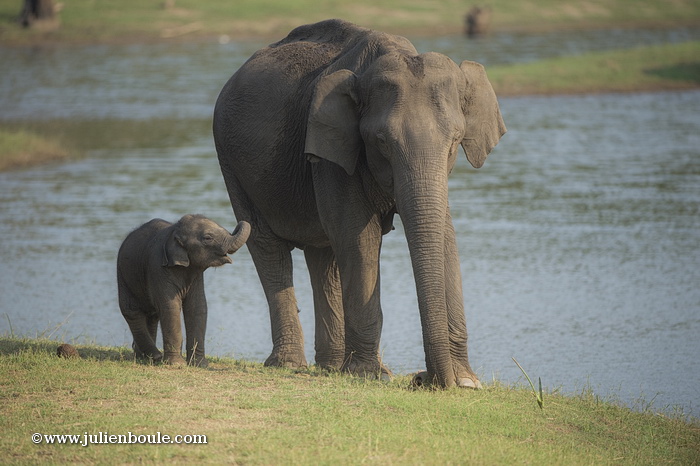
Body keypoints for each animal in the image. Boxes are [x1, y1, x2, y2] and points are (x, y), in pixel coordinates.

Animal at [117, 214, 251, 367]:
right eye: (208, 238)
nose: (239, 222)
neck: (175, 230)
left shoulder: (196, 274)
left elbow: (197, 307)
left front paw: (200, 364)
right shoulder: (157, 268)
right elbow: (170, 307)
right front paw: (177, 365)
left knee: (152, 314)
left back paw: (145, 358)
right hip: (123, 275)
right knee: (132, 311)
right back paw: (155, 355)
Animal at [213, 19, 505, 388]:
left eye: (455, 140)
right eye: (381, 142)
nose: (422, 378)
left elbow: (445, 237)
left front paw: (466, 381)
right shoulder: (333, 148)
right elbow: (359, 237)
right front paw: (370, 375)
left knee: (323, 255)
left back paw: (330, 366)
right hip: (232, 163)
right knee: (268, 247)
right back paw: (290, 364)